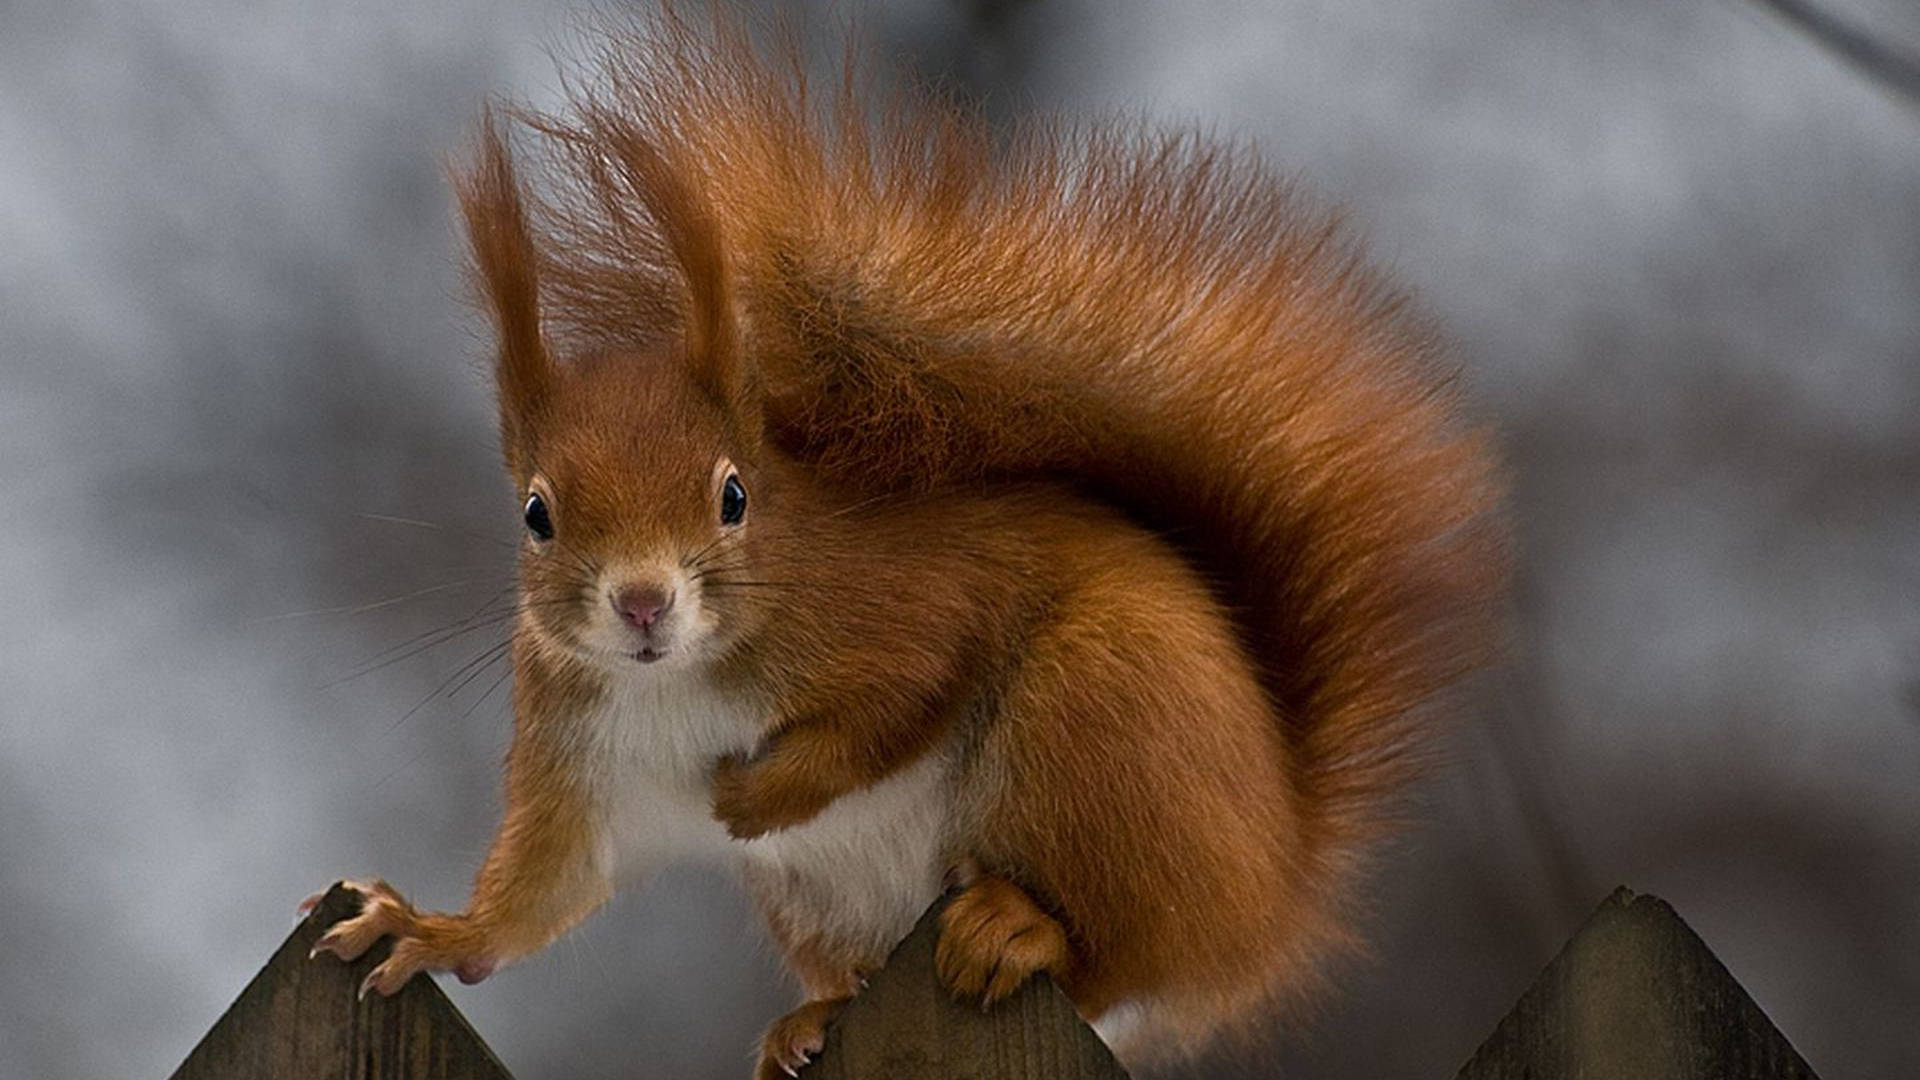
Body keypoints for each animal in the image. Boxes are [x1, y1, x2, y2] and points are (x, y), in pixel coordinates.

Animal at [309, 7, 1505, 1076]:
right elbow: (541, 891)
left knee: (1117, 959)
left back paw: (1021, 929)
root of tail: (1275, 887)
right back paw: (815, 1019)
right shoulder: (580, 756)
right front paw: (430, 930)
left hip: (1102, 726)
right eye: (536, 514)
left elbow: (906, 696)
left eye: (735, 496)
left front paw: (759, 796)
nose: (642, 602)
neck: (678, 679)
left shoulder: (908, 604)